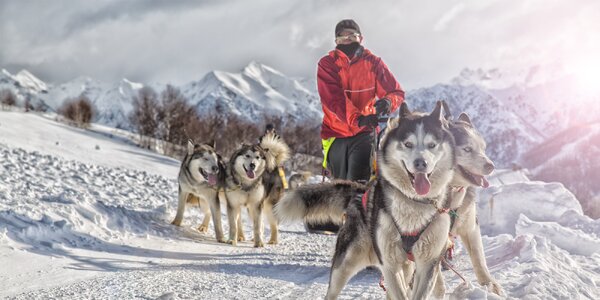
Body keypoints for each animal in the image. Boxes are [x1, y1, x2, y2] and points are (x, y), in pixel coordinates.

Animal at [276, 102, 454, 298]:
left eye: (432, 145)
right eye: (408, 144)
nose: (420, 163)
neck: (413, 202)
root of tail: (361, 189)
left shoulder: (428, 265)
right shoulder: (389, 265)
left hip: (407, 266)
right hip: (346, 263)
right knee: (333, 290)